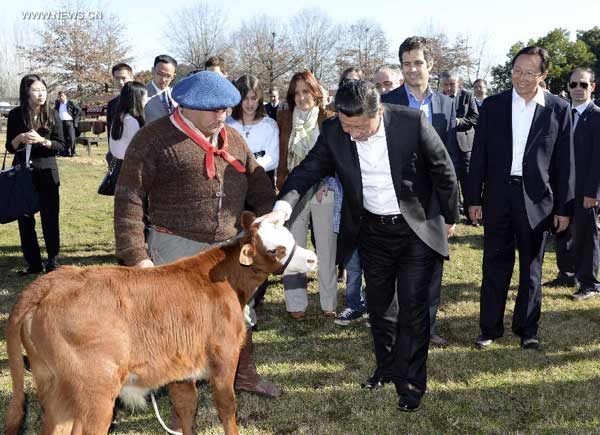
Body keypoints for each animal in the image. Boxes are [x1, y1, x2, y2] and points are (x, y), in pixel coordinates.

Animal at [3, 212, 318, 435]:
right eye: (276, 249)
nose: (312, 258)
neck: (227, 281)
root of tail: (49, 283)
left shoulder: (180, 368)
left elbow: (186, 407)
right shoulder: (224, 357)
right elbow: (227, 408)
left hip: (51, 384)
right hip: (95, 392)